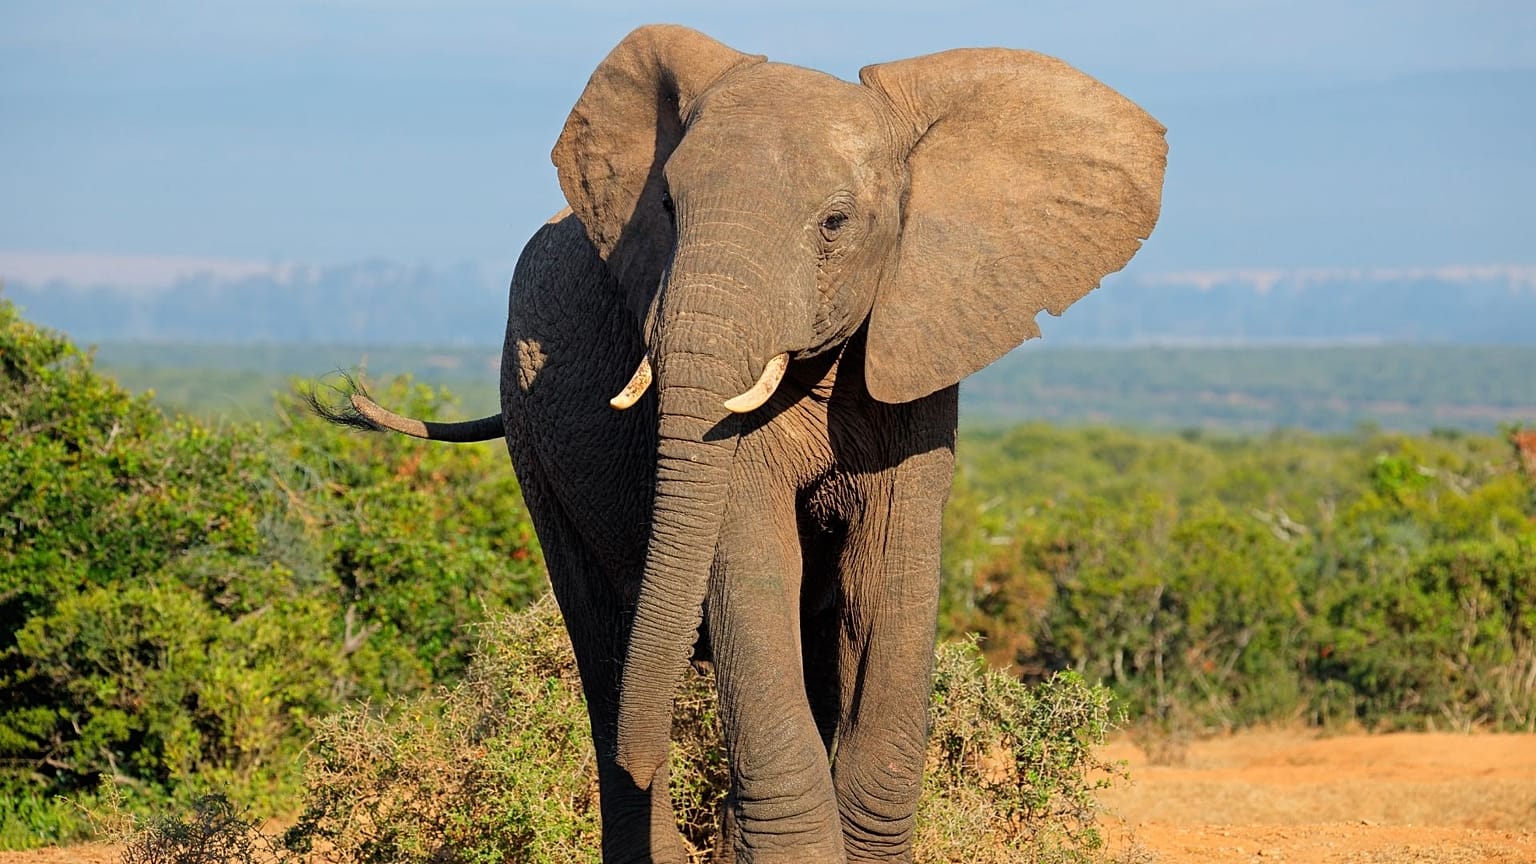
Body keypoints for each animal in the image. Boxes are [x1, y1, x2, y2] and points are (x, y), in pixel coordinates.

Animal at [315, 24, 1165, 864]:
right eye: (665, 204)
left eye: (835, 224)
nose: (649, 751)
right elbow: (751, 564)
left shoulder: (919, 347)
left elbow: (886, 580)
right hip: (528, 429)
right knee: (602, 640)